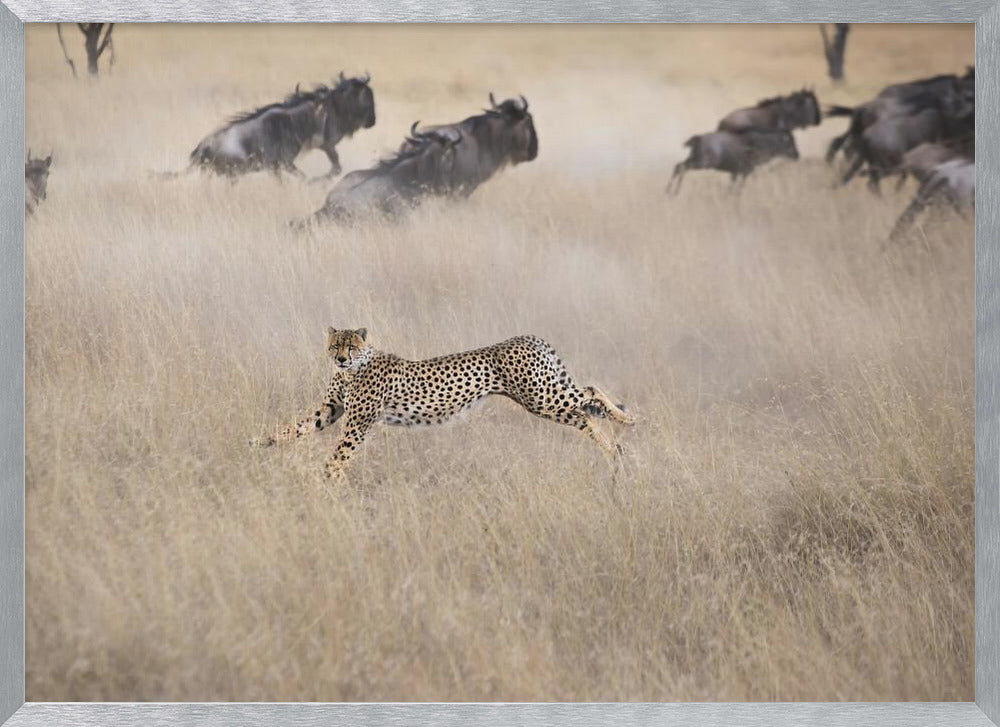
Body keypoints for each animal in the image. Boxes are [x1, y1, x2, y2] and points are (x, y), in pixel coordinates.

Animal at [252, 327, 635, 477]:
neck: (351, 372)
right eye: (335, 346)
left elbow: (339, 454)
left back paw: (628, 421)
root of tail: (526, 337)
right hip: (546, 401)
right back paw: (614, 450)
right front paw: (263, 441)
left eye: (352, 347)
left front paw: (328, 480)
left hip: (542, 397)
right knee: (586, 415)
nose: (341, 359)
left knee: (590, 392)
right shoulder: (332, 409)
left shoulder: (357, 423)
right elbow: (298, 426)